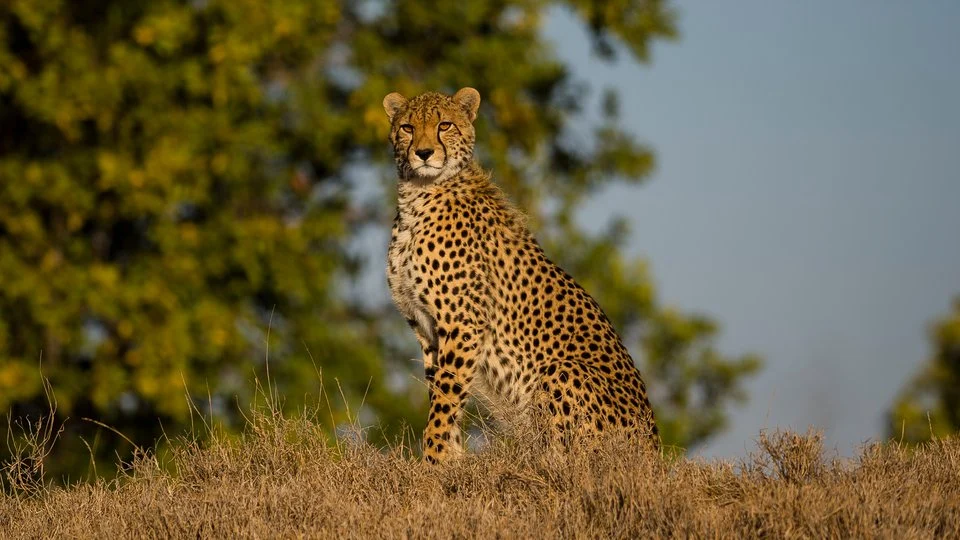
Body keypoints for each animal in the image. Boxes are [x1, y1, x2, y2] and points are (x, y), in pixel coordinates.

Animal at [383, 87, 660, 464]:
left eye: (445, 125)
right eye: (408, 128)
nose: (423, 153)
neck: (418, 194)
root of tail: (657, 454)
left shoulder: (464, 324)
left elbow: (445, 396)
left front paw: (435, 459)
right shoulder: (427, 329)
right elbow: (441, 394)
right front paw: (453, 460)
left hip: (563, 372)